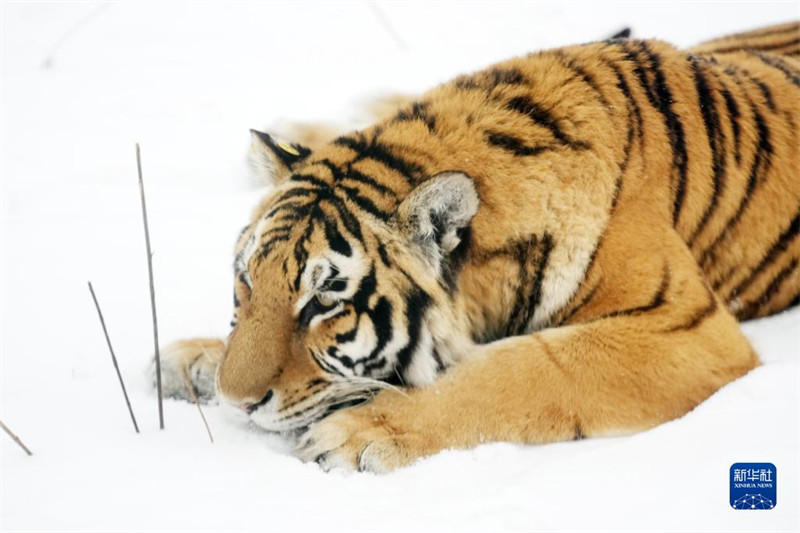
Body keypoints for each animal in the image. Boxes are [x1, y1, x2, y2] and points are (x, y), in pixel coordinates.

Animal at [156, 21, 800, 473]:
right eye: (245, 281)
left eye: (325, 303)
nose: (235, 402)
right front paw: (192, 358)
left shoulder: (688, 329)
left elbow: (522, 366)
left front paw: (360, 432)